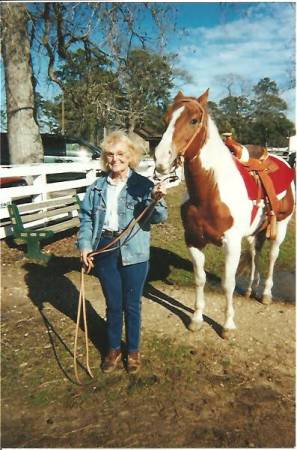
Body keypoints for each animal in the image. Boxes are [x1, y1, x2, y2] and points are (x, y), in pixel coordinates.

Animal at [154, 89, 292, 338]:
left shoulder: (231, 244)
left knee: (272, 256)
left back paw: (266, 294)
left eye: (194, 120)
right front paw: (196, 319)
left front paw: (227, 325)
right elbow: (200, 280)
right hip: (254, 232)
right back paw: (250, 289)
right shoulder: (194, 241)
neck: (211, 190)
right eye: (166, 119)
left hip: (282, 225)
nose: (161, 159)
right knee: (255, 253)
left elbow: (228, 283)